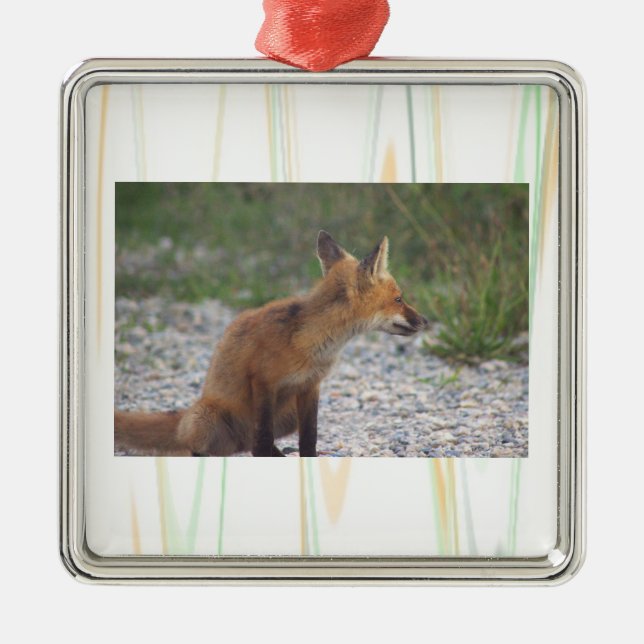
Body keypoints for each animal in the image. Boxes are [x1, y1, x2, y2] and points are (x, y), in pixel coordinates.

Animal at [115, 231, 428, 457]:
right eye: (399, 299)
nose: (426, 321)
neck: (312, 344)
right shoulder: (263, 381)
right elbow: (263, 436)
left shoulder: (310, 386)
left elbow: (309, 436)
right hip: (205, 419)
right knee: (220, 447)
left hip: (286, 416)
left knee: (248, 445)